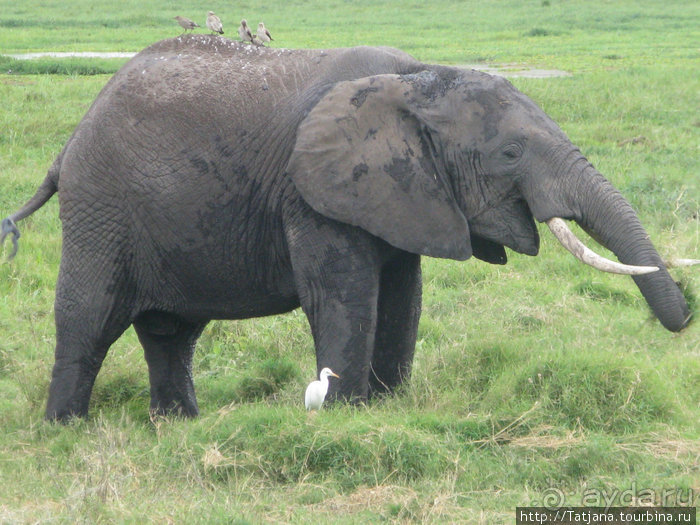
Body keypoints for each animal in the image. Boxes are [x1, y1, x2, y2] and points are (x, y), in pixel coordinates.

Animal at [0, 34, 692, 420]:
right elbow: (343, 292)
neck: (416, 77)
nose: (685, 319)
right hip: (100, 208)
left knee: (172, 331)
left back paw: (177, 426)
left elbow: (405, 296)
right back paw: (65, 428)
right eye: (511, 153)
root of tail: (67, 148)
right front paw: (348, 413)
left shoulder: (404, 194)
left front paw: (387, 407)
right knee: (90, 317)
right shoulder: (313, 193)